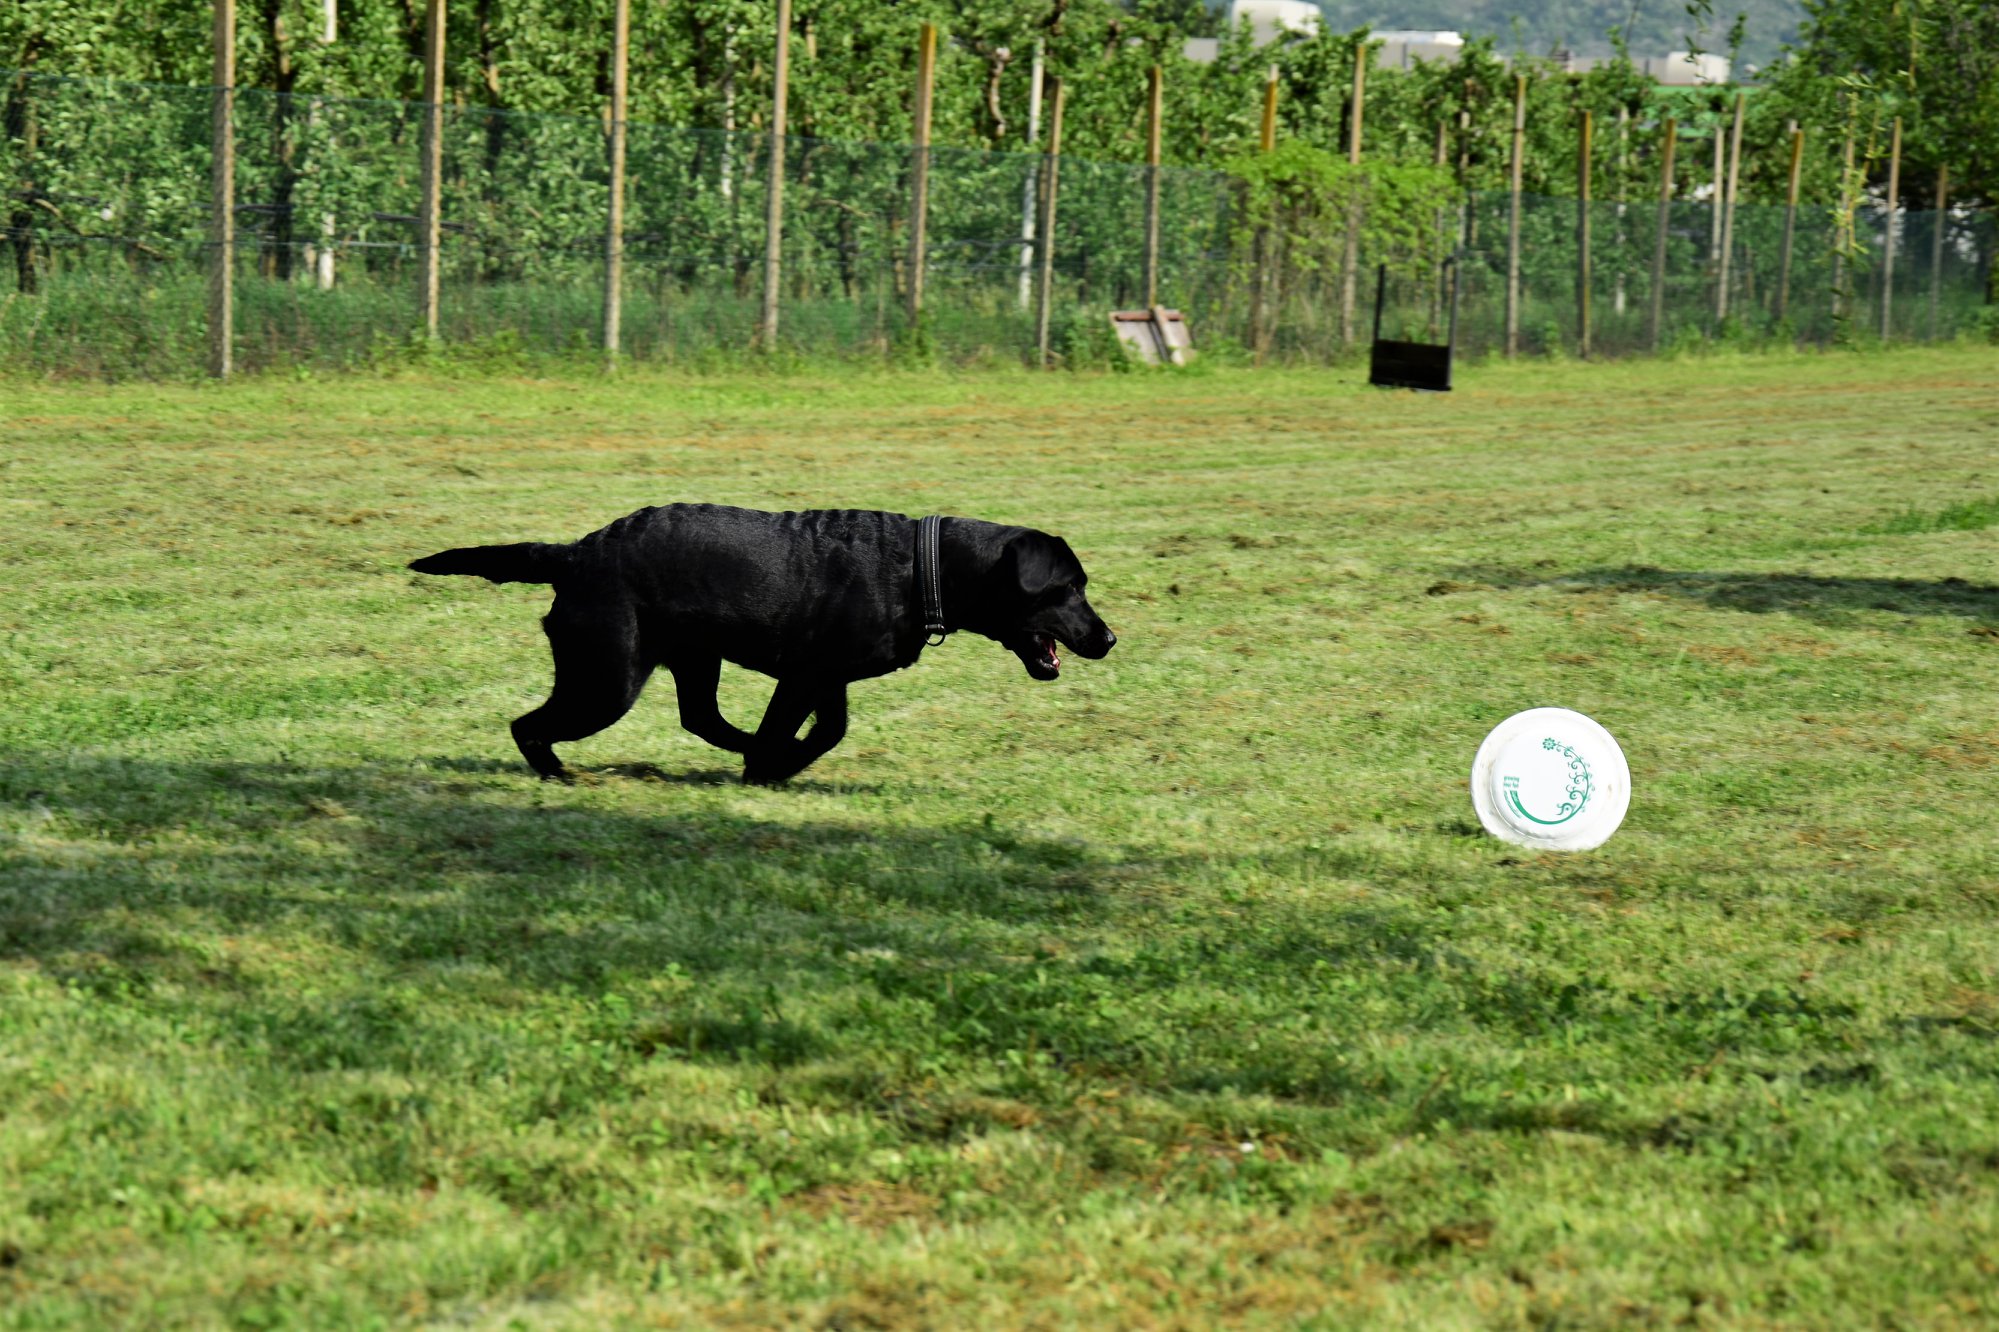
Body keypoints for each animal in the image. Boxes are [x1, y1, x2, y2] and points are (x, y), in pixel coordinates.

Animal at [411, 504, 1119, 784]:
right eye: (1068, 588)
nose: (1110, 638)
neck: (925, 568)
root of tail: (574, 554)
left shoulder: (827, 678)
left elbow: (829, 729)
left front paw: (778, 764)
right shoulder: (804, 674)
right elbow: (794, 726)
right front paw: (769, 767)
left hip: (691, 660)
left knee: (700, 718)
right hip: (608, 677)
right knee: (528, 724)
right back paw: (559, 774)